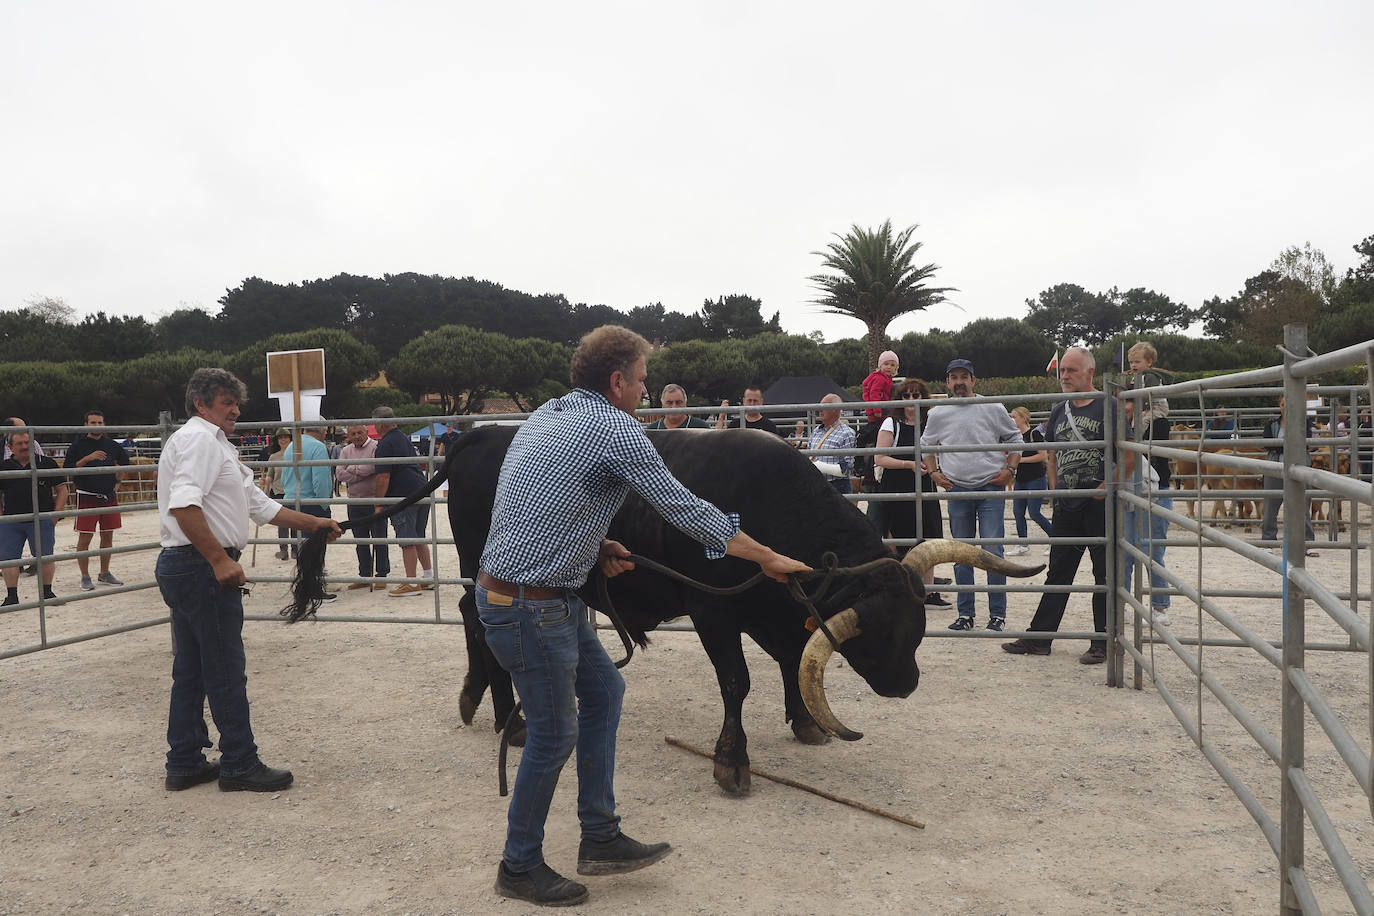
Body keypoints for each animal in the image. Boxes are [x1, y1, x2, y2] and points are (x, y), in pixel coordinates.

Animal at [289, 431, 1038, 796]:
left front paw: (803, 723)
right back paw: (510, 716)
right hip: (484, 563)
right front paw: (732, 763)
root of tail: (476, 435)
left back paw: (481, 700)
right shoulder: (713, 613)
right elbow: (737, 682)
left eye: (916, 627)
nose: (906, 683)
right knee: (481, 622)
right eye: (879, 634)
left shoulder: (770, 608)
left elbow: (792, 659)